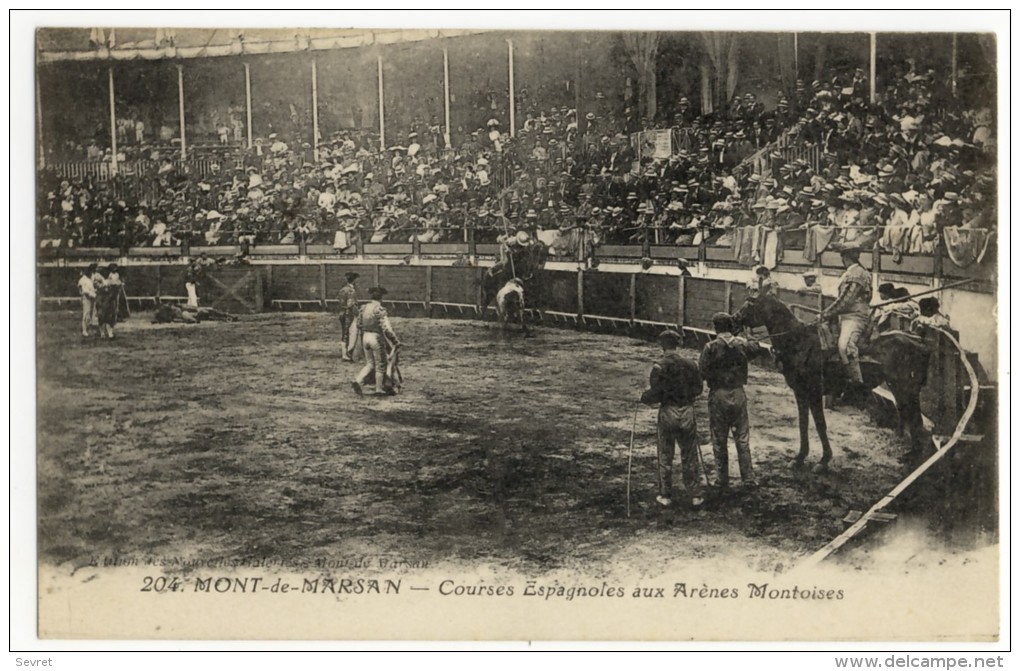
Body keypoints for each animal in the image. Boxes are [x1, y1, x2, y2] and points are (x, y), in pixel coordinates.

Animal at [734, 293, 934, 465]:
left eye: (749, 304)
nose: (733, 320)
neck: (800, 342)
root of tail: (918, 342)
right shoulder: (800, 392)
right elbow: (803, 424)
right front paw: (800, 457)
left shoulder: (814, 393)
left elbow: (820, 424)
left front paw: (824, 460)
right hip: (901, 389)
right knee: (911, 416)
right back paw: (912, 453)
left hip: (904, 388)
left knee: (915, 418)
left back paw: (914, 455)